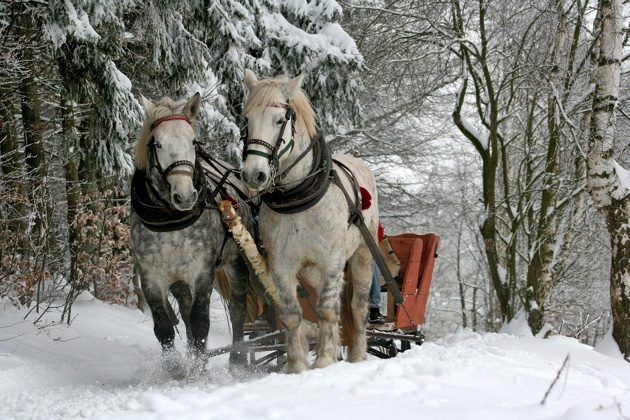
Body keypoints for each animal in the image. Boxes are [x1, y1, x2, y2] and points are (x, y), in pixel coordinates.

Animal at [132, 92, 251, 378]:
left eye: (193, 141)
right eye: (157, 144)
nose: (185, 196)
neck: (171, 221)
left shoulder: (203, 271)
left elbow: (200, 321)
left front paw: (199, 368)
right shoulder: (151, 276)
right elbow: (164, 326)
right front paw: (176, 367)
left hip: (236, 263)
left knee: (238, 308)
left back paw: (237, 360)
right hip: (178, 280)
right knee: (185, 312)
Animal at [241, 70, 380, 372]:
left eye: (279, 120)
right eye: (247, 120)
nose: (253, 175)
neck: (298, 196)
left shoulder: (332, 260)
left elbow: (327, 310)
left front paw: (325, 360)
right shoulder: (281, 265)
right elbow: (293, 314)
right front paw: (297, 365)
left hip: (363, 254)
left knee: (357, 306)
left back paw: (356, 355)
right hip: (311, 271)